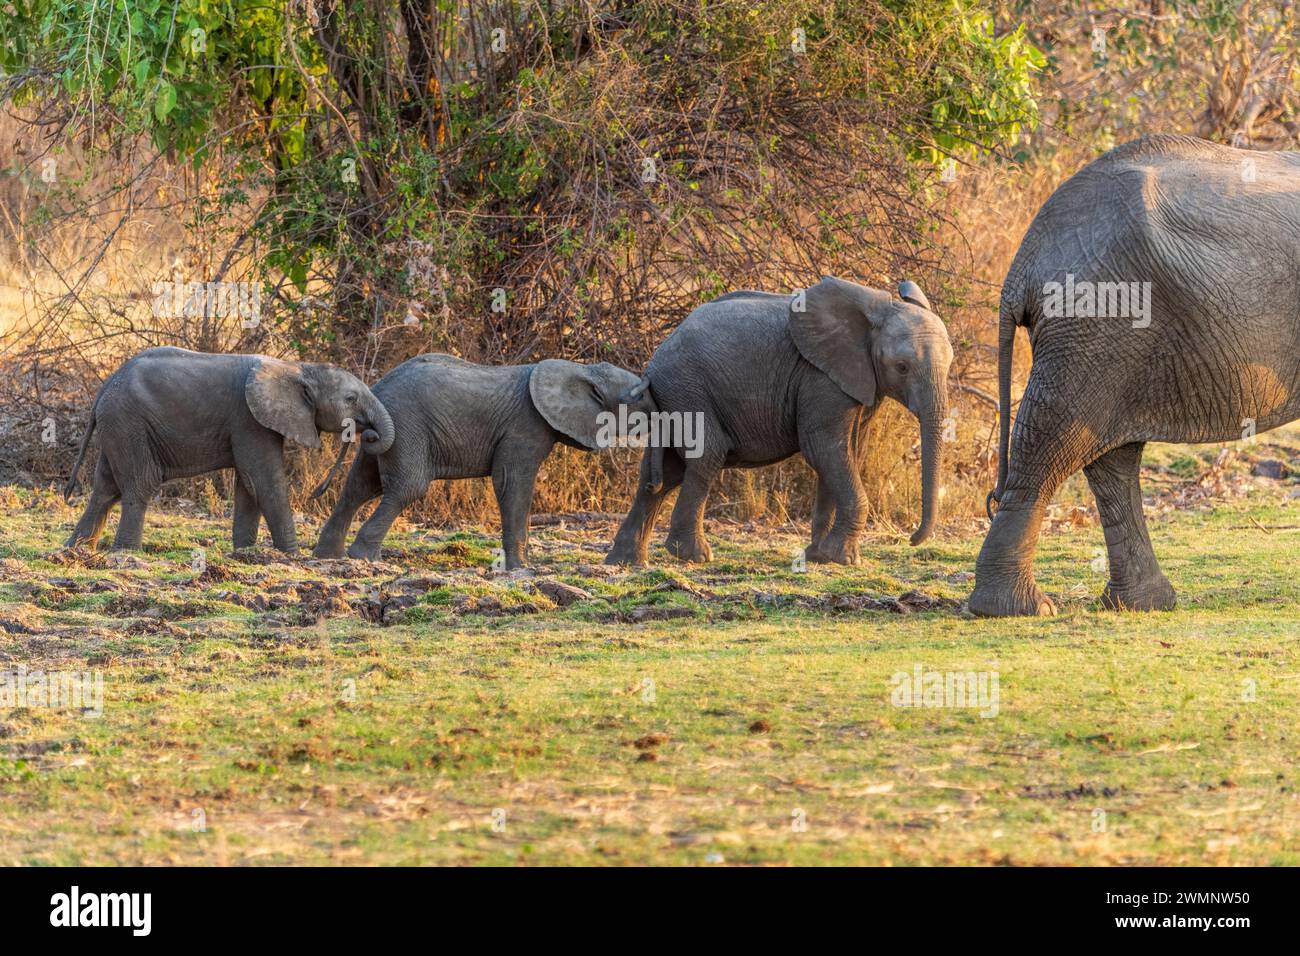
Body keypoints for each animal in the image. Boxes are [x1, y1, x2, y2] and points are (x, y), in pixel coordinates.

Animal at [65, 345, 390, 554]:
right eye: (350, 399)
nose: (368, 432)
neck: (297, 367)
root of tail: (105, 388)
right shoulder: (249, 419)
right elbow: (263, 481)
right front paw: (292, 556)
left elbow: (248, 486)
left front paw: (245, 552)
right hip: (129, 423)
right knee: (140, 483)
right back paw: (127, 552)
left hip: (118, 426)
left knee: (106, 487)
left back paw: (76, 550)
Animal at [313, 356, 655, 567]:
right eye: (637, 397)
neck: (582, 369)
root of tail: (377, 388)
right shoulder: (525, 426)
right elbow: (512, 483)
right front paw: (521, 568)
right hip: (408, 428)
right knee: (408, 488)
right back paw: (363, 557)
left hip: (392, 433)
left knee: (359, 485)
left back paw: (329, 556)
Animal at [603, 274, 951, 567]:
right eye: (902, 367)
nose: (911, 539)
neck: (873, 312)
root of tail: (652, 365)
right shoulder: (819, 377)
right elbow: (825, 449)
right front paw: (843, 559)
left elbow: (844, 453)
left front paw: (819, 556)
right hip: (687, 388)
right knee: (705, 456)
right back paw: (693, 555)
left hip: (674, 395)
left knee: (665, 472)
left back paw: (627, 561)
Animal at [972, 130, 1300, 616]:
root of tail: (1021, 269)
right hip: (1099, 322)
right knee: (1054, 440)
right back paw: (1019, 609)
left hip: (1105, 339)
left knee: (1109, 457)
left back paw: (1141, 604)